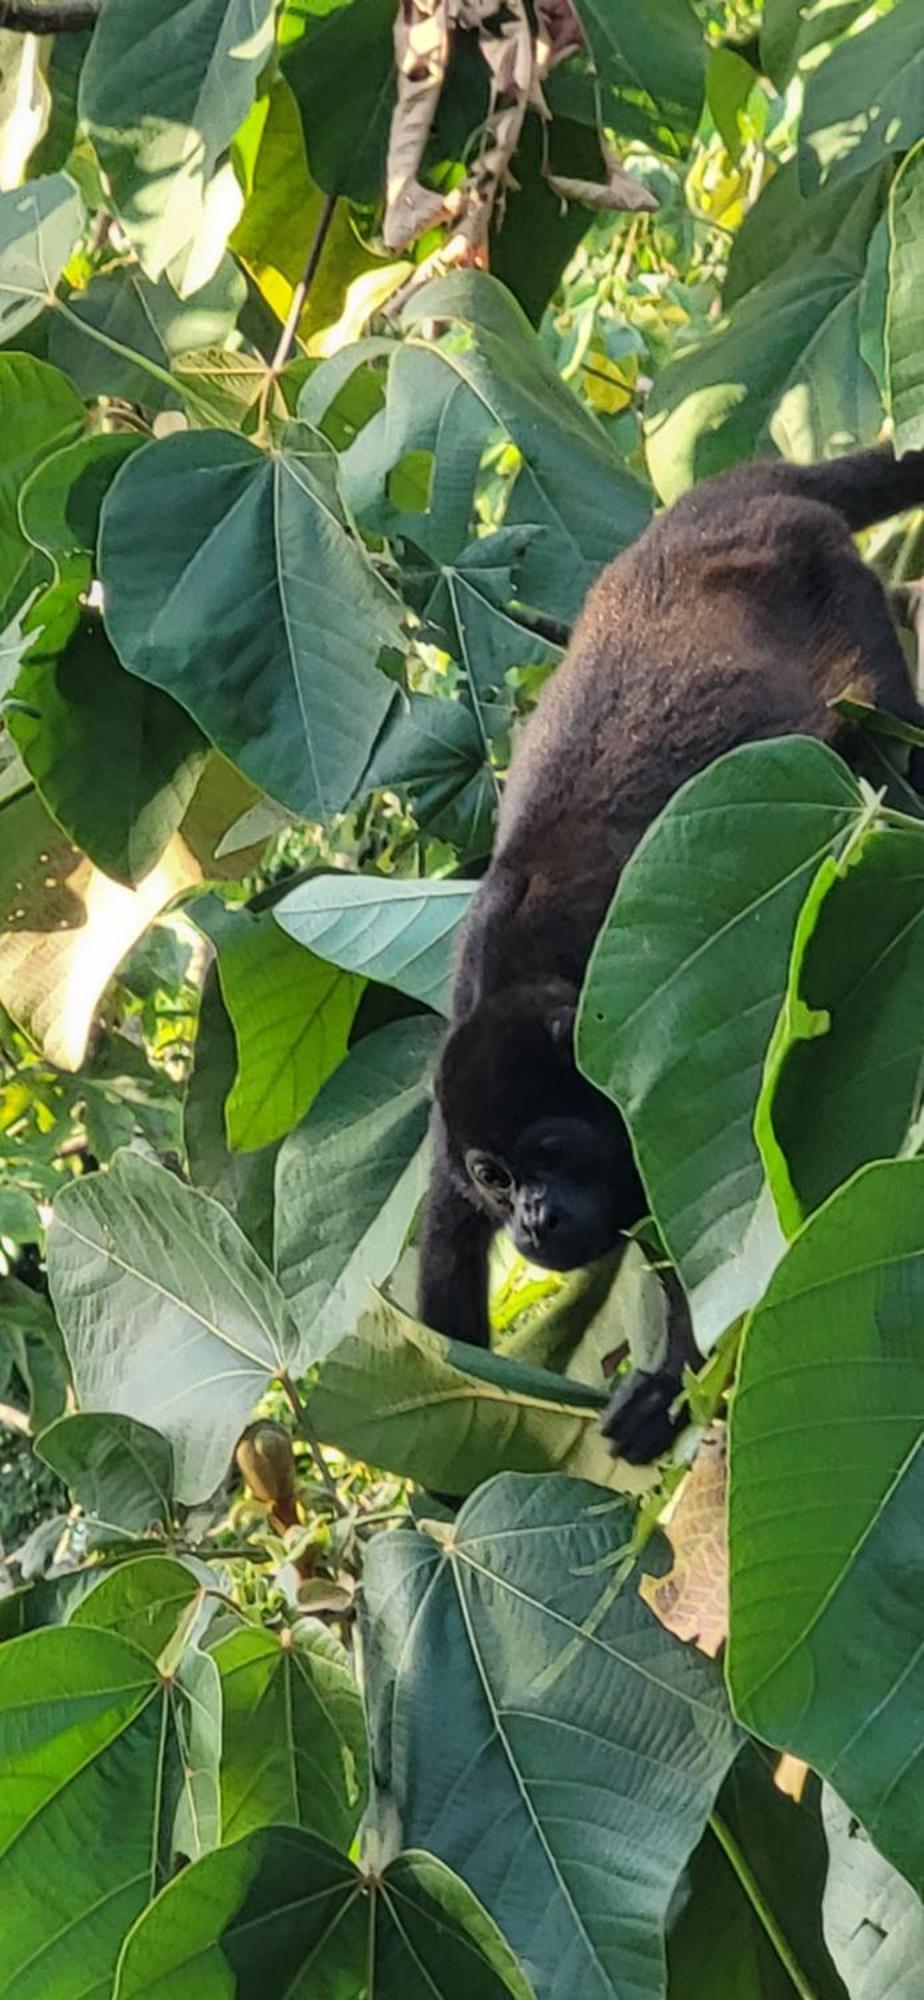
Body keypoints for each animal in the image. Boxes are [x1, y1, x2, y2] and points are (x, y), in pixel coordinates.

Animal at [416, 446, 924, 1464]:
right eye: (496, 1176)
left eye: (550, 1150)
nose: (531, 1218)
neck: (538, 984)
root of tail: (721, 504)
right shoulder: (451, 1114)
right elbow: (445, 1282)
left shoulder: (639, 1073)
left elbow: (722, 1219)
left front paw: (669, 1383)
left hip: (830, 582)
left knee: (881, 726)